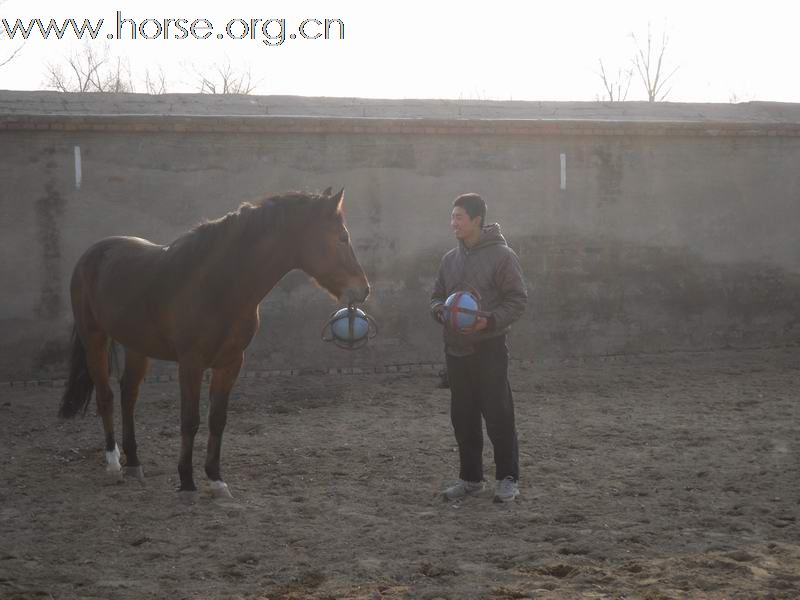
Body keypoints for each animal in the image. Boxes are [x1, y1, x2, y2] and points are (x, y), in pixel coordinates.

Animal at [60, 190, 372, 500]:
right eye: (342, 237)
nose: (363, 289)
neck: (218, 285)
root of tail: (92, 254)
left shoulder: (231, 363)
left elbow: (217, 419)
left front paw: (216, 479)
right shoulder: (191, 363)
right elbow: (190, 420)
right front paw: (187, 481)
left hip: (137, 346)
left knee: (129, 395)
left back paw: (135, 463)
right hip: (95, 339)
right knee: (106, 396)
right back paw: (113, 463)